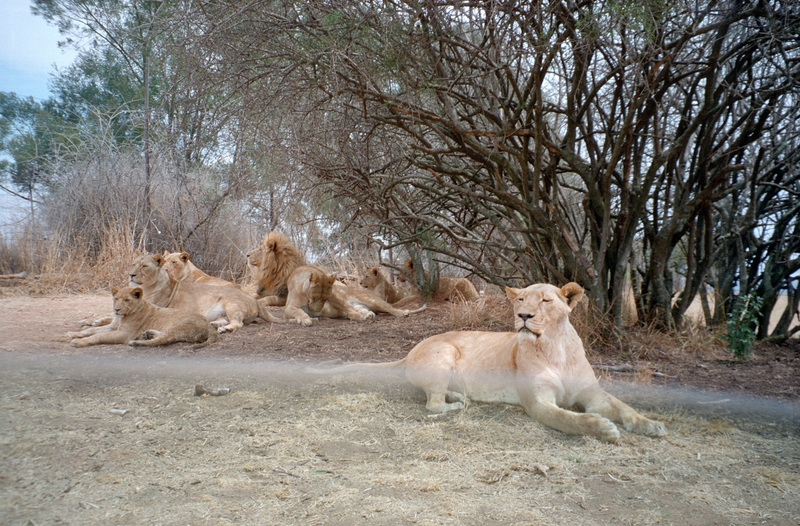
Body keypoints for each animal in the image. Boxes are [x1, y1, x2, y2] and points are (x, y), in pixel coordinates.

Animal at [66, 286, 219, 348]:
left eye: (127, 300)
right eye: (116, 298)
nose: (116, 309)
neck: (122, 317)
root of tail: (209, 326)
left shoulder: (124, 334)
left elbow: (98, 336)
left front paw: (78, 342)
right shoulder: (113, 327)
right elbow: (91, 330)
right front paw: (71, 334)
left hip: (178, 325)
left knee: (162, 340)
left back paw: (137, 342)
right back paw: (147, 334)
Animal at [129, 253, 284, 334]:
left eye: (144, 266)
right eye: (133, 264)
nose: (131, 274)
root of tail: (256, 301)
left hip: (231, 303)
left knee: (237, 323)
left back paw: (225, 329)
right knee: (226, 319)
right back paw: (215, 325)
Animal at [284, 266, 428, 328]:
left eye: (325, 299)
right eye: (314, 297)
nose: (316, 310)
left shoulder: (334, 295)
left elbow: (345, 306)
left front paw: (357, 317)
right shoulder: (289, 307)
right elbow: (297, 311)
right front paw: (305, 319)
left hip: (372, 300)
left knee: (391, 308)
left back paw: (403, 313)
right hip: (365, 305)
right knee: (367, 311)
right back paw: (368, 315)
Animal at [310, 282, 664, 444]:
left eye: (546, 300)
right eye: (520, 298)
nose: (523, 315)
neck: (554, 348)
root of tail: (409, 351)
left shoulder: (592, 393)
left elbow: (623, 407)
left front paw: (649, 424)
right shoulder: (538, 402)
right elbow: (568, 419)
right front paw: (602, 428)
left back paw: (459, 396)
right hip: (444, 352)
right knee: (432, 405)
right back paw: (456, 405)